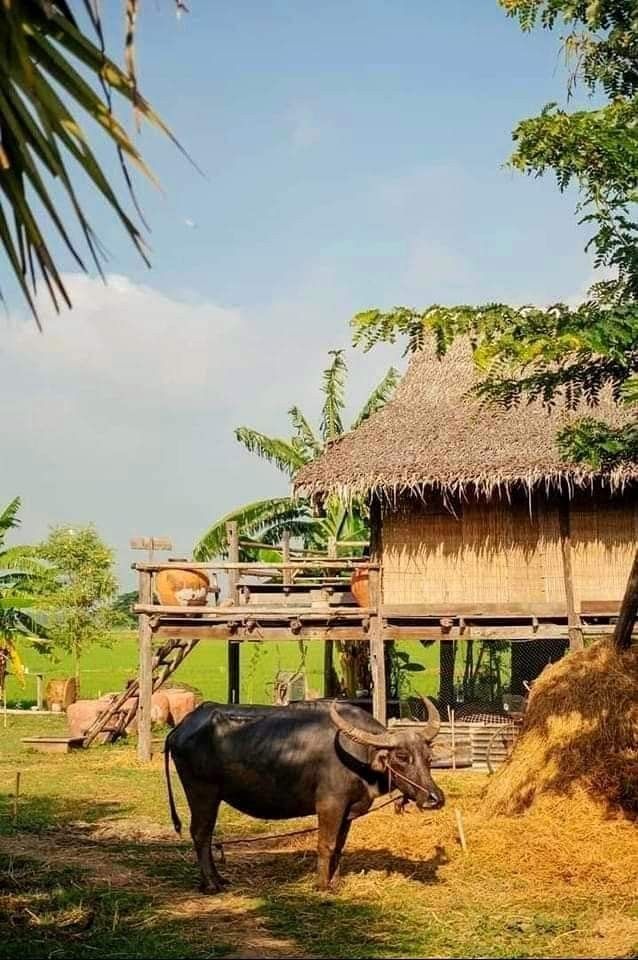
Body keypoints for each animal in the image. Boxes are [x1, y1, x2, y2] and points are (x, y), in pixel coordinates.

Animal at [165, 696, 444, 892]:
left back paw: (218, 879)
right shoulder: (330, 805)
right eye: (402, 757)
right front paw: (322, 885)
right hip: (202, 793)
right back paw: (211, 884)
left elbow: (339, 846)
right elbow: (326, 844)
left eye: (428, 757)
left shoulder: (347, 810)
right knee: (200, 833)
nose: (435, 798)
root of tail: (180, 728)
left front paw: (336, 881)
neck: (359, 756)